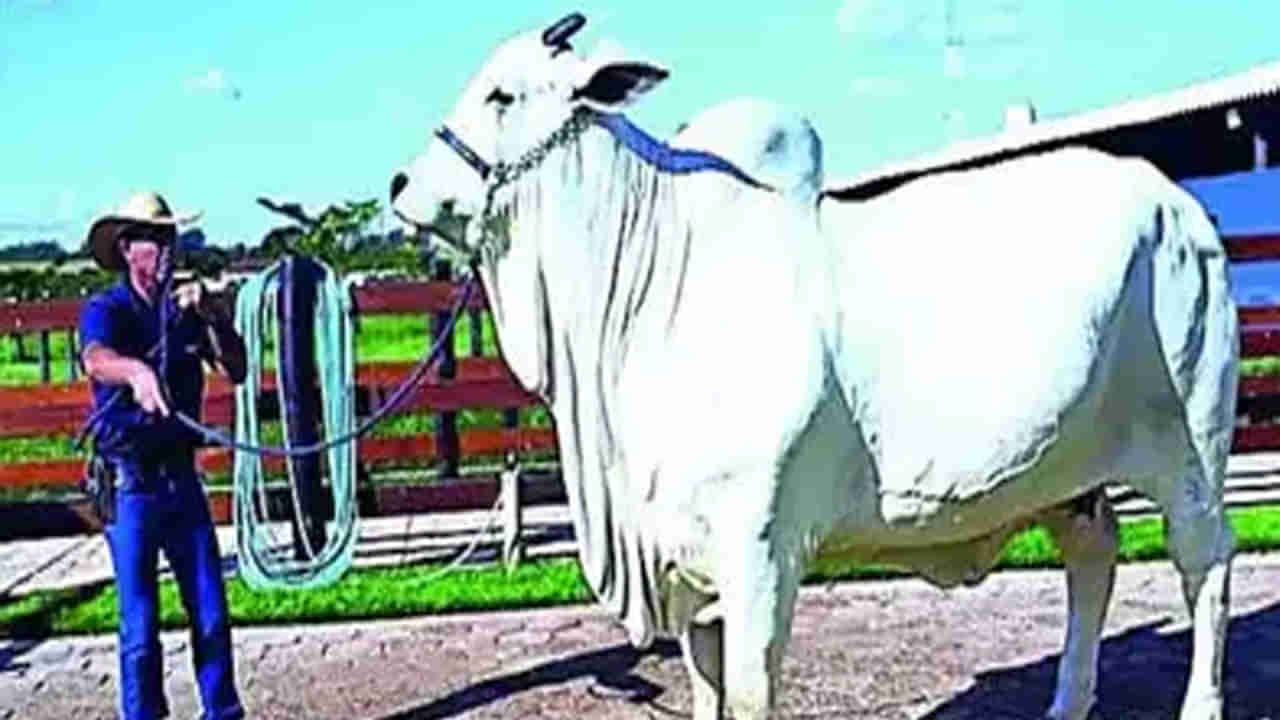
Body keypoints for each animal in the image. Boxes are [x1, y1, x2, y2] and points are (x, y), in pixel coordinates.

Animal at [388, 13, 1238, 720]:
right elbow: (706, 687)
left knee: (1207, 565)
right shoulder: (688, 561)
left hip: (1191, 452)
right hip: (1069, 477)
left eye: (502, 92)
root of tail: (1178, 204)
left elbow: (750, 690)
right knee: (1094, 560)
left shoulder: (761, 549)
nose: (401, 185)